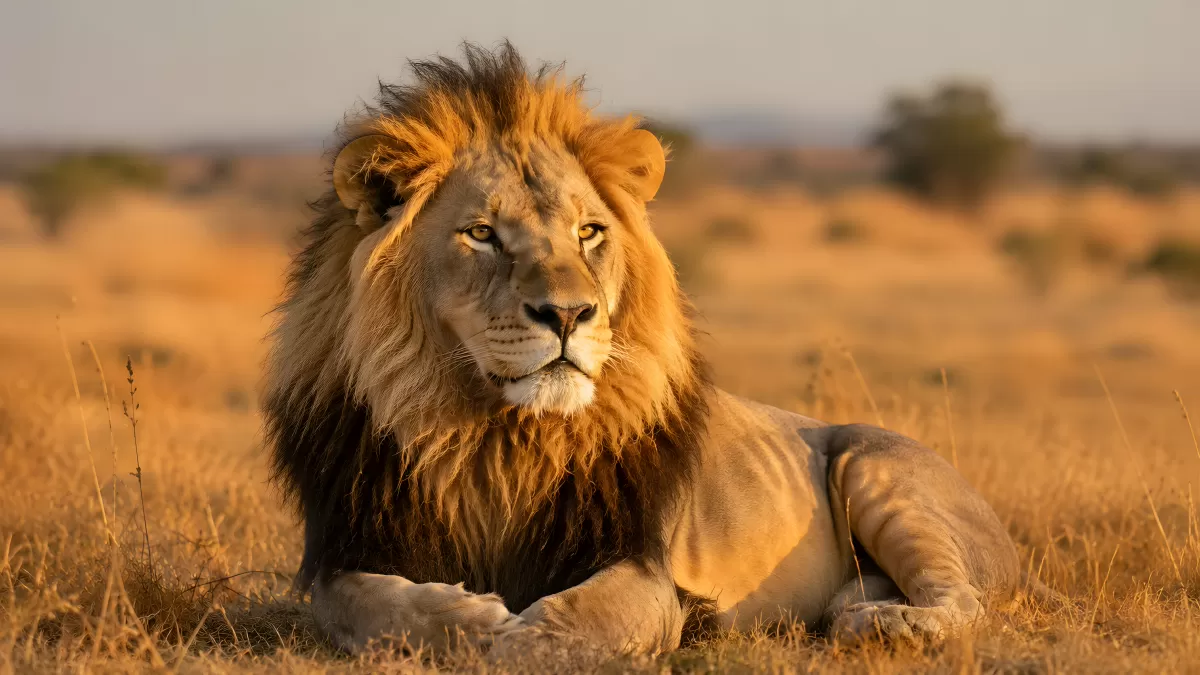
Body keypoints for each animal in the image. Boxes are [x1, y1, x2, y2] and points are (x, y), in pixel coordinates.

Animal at [265, 42, 1023, 655]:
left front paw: (513, 637)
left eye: (589, 232)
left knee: (964, 595)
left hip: (878, 467)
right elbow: (376, 605)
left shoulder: (642, 564)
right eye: (482, 234)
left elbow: (575, 623)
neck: (497, 439)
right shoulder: (348, 546)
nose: (569, 314)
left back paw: (892, 625)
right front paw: (473, 620)